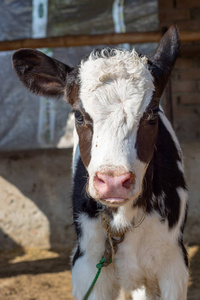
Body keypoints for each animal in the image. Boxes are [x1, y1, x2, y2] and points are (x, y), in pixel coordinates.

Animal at [12, 25, 189, 300]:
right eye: (78, 115)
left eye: (151, 114)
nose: (114, 181)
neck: (123, 219)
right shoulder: (87, 264)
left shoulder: (174, 264)